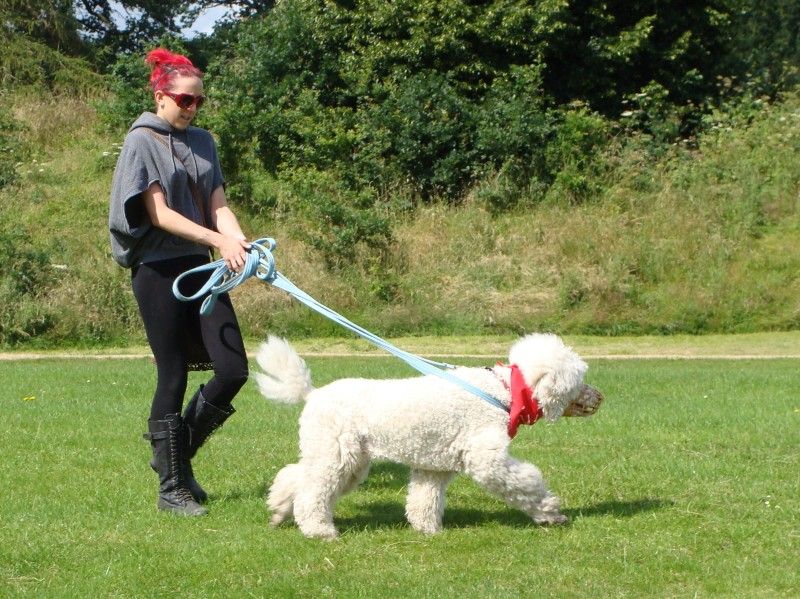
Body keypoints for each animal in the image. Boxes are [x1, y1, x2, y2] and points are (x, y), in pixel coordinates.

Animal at [256, 332, 600, 540]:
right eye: (579, 381)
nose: (600, 396)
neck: (501, 391)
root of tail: (312, 393)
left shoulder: (434, 466)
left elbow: (424, 500)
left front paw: (428, 531)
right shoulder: (486, 460)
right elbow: (526, 483)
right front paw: (551, 512)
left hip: (345, 459)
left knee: (295, 477)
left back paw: (279, 508)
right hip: (335, 455)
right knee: (312, 492)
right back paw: (320, 531)